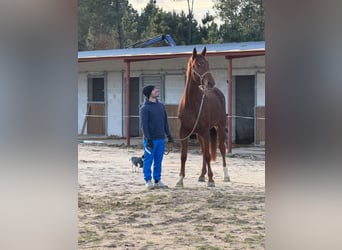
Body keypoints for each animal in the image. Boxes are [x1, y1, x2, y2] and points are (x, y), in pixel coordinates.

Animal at [176, 47, 230, 188]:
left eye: (208, 63)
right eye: (199, 64)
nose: (211, 83)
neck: (191, 104)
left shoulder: (206, 132)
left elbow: (207, 155)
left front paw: (211, 180)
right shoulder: (184, 132)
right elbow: (183, 156)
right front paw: (180, 180)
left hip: (220, 127)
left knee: (222, 149)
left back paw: (226, 175)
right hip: (199, 134)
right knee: (203, 150)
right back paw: (201, 175)